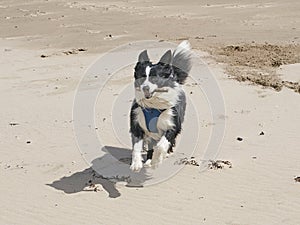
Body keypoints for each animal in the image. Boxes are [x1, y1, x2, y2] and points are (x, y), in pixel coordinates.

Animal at [129, 40, 192, 171]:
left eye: (155, 78)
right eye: (141, 76)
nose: (145, 88)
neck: (153, 106)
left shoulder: (173, 125)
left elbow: (161, 146)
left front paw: (157, 160)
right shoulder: (136, 123)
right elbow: (136, 146)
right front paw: (136, 163)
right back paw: (148, 161)